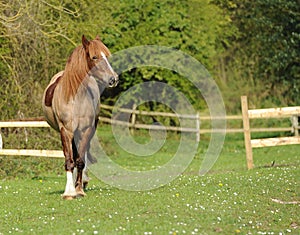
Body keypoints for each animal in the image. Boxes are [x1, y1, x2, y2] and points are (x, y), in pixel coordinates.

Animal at [42, 35, 118, 200]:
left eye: (107, 56)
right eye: (94, 57)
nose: (113, 79)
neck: (75, 99)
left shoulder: (85, 130)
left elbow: (80, 160)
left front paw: (79, 190)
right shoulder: (66, 131)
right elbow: (69, 160)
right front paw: (69, 192)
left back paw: (83, 181)